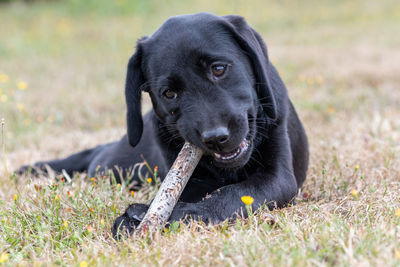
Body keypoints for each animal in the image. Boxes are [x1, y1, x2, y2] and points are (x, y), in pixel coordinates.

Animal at [16, 13, 310, 238]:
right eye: (169, 93)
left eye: (218, 69)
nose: (215, 137)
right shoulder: (188, 180)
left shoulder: (279, 177)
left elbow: (233, 193)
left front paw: (178, 214)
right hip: (115, 167)